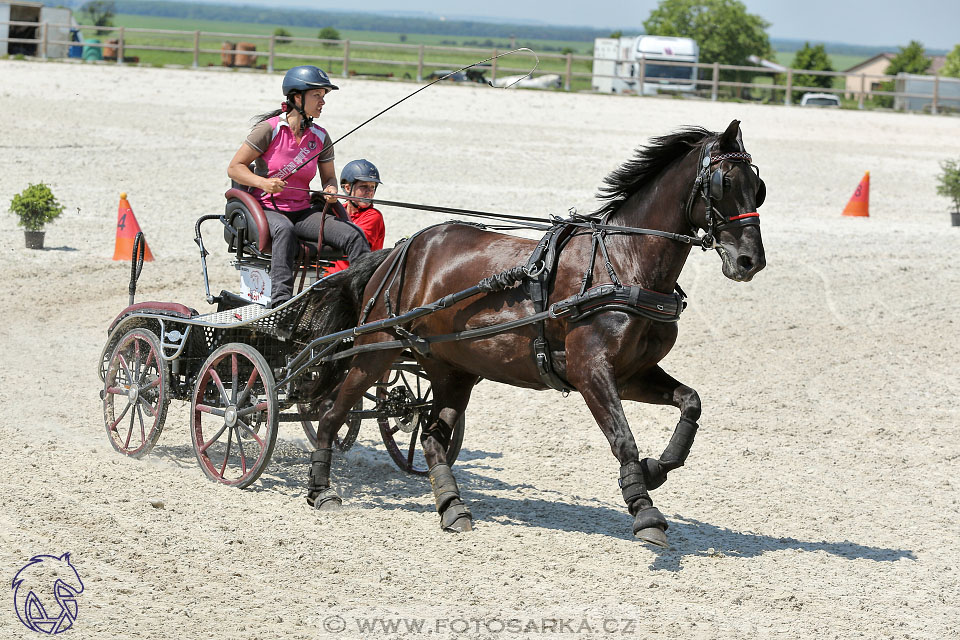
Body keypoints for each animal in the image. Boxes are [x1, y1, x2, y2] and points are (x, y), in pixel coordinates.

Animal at [306, 119, 764, 544]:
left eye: (758, 188)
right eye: (724, 183)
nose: (750, 261)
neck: (623, 262)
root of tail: (401, 249)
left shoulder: (633, 374)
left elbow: (691, 403)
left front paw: (654, 470)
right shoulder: (590, 370)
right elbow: (623, 439)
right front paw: (645, 511)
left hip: (452, 369)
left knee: (433, 436)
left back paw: (453, 507)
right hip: (375, 349)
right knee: (330, 413)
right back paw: (322, 490)